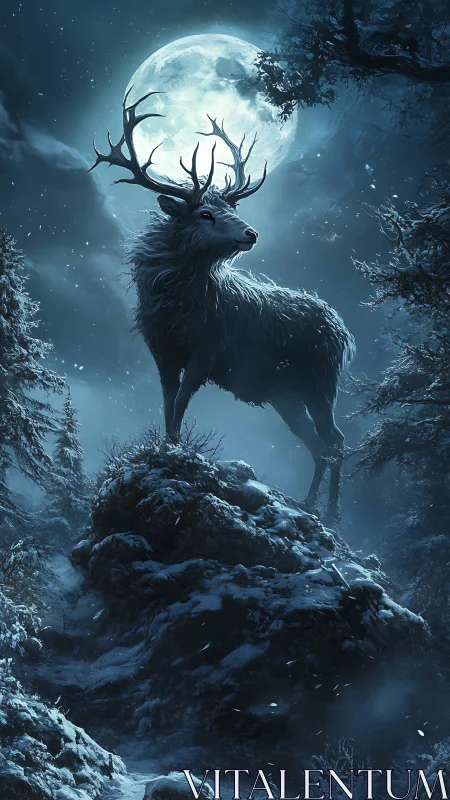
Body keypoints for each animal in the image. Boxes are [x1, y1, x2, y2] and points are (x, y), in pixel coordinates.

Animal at [91, 88, 355, 521]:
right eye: (205, 213)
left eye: (232, 210)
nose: (251, 233)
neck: (176, 304)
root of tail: (344, 331)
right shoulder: (162, 351)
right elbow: (168, 402)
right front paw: (167, 447)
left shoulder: (209, 349)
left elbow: (183, 399)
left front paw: (175, 453)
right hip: (285, 395)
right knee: (316, 444)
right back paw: (307, 504)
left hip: (319, 381)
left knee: (335, 440)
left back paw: (331, 512)